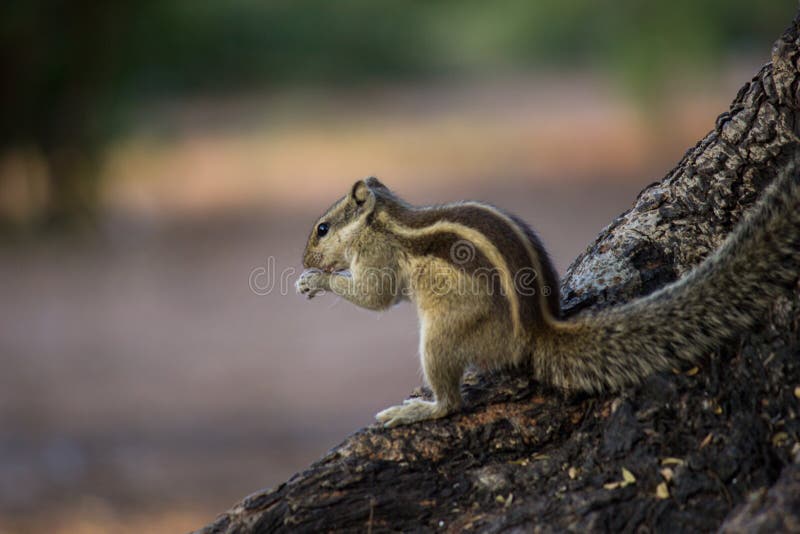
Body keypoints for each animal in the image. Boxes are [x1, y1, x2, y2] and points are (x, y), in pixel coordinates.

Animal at [296, 161, 800, 427]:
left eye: (322, 228)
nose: (304, 259)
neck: (382, 220)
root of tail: (537, 331)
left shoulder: (378, 258)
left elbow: (374, 297)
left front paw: (313, 281)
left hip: (441, 337)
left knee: (451, 404)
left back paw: (417, 410)